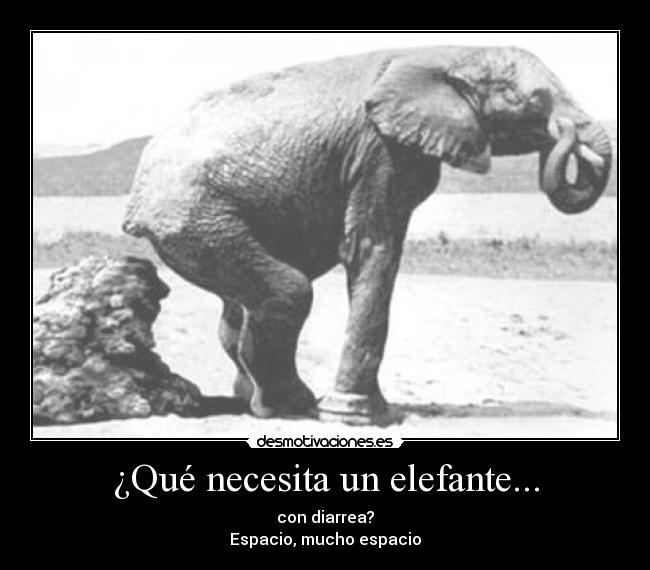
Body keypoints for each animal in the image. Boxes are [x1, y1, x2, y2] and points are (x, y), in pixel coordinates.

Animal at [122, 46, 611, 424]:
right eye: (534, 100)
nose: (567, 132)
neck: (445, 53)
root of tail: (138, 196)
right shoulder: (377, 150)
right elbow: (374, 249)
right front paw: (354, 417)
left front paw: (381, 412)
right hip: (193, 217)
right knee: (289, 292)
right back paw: (293, 406)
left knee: (237, 311)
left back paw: (255, 403)